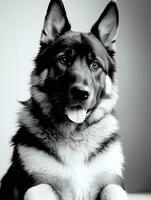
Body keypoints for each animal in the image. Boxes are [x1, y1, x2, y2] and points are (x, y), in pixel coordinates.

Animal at [0, 0, 127, 199]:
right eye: (64, 60)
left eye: (95, 65)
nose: (81, 93)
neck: (74, 136)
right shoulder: (36, 184)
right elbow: (42, 189)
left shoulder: (112, 181)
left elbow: (113, 190)